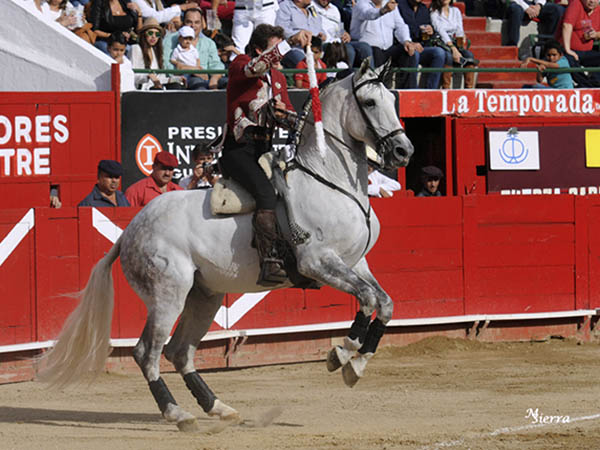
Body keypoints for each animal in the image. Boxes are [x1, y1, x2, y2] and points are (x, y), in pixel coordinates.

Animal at [37, 61, 412, 430]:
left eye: (393, 101)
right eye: (370, 103)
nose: (403, 151)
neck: (328, 179)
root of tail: (130, 230)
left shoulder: (356, 262)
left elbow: (385, 302)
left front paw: (356, 365)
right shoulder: (317, 261)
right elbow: (367, 299)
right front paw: (342, 353)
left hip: (205, 296)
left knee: (180, 351)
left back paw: (217, 407)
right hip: (167, 295)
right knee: (148, 352)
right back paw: (178, 414)